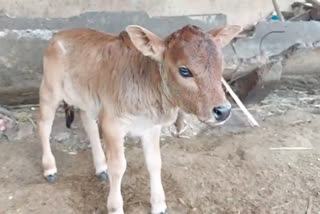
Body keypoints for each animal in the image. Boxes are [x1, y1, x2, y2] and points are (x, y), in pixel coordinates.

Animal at [37, 24, 241, 213]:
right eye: (184, 71)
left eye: (221, 66)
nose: (223, 110)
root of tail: (60, 34)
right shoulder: (112, 124)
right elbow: (118, 166)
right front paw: (115, 207)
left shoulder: (151, 127)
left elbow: (155, 162)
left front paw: (159, 205)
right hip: (50, 90)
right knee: (44, 125)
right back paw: (50, 168)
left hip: (87, 97)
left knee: (89, 124)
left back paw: (100, 166)